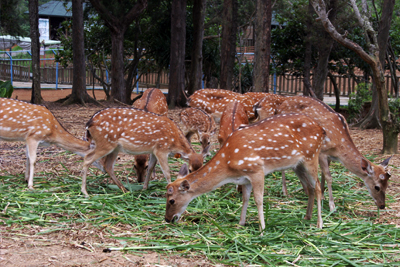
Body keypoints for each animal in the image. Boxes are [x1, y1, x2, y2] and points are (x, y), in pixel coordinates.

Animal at [166, 113, 328, 230]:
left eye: (171, 200)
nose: (167, 219)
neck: (229, 166)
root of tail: (322, 129)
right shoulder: (244, 178)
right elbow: (245, 198)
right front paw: (241, 222)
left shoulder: (256, 169)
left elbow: (258, 199)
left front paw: (262, 228)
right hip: (298, 164)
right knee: (310, 187)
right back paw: (307, 217)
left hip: (311, 156)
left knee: (318, 187)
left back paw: (319, 224)